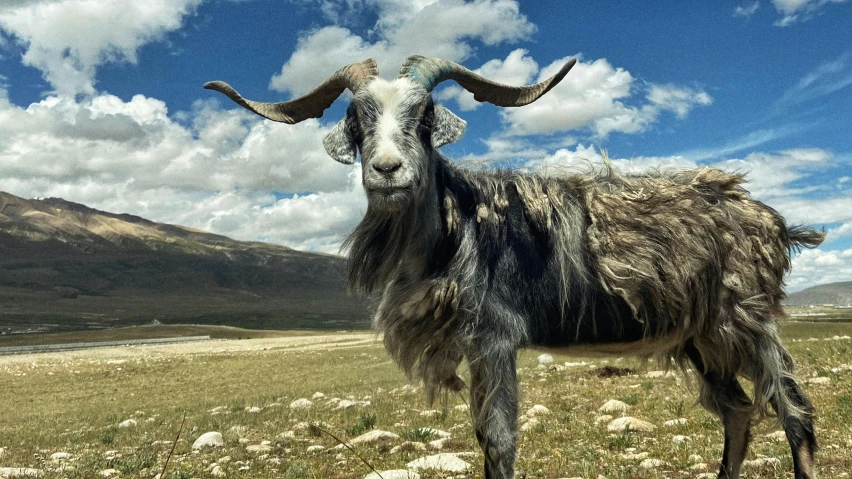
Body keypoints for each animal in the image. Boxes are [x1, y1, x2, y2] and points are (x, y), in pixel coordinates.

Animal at [206, 57, 824, 479]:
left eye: (424, 114)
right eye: (357, 118)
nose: (387, 170)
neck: (455, 226)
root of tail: (769, 219)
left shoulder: (495, 336)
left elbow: (500, 439)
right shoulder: (475, 344)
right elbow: (483, 435)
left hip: (745, 318)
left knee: (792, 407)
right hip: (699, 335)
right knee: (738, 410)